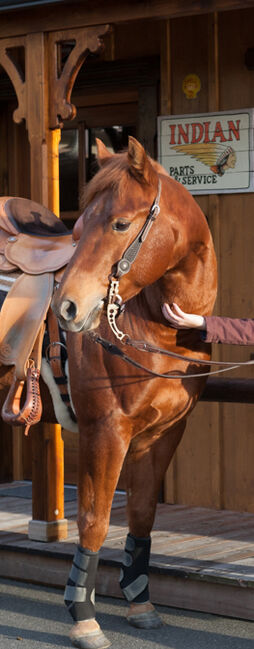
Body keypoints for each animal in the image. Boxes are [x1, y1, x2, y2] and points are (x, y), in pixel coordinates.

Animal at [52, 139, 217, 648]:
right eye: (77, 227)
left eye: (120, 224)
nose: (67, 307)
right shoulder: (106, 432)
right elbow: (95, 518)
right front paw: (83, 615)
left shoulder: (162, 434)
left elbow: (142, 513)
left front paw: (140, 602)